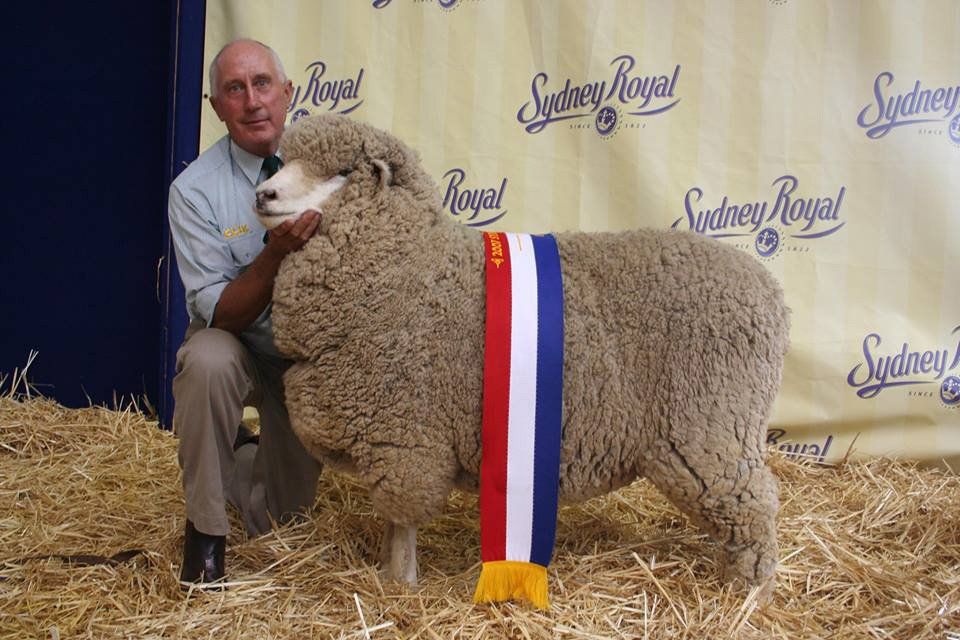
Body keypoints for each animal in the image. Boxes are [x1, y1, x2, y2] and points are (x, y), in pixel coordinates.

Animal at [255, 114, 789, 600]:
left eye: (342, 172)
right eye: (285, 159)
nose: (264, 195)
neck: (410, 267)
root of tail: (771, 292)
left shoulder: (406, 440)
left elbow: (402, 523)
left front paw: (400, 586)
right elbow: (393, 524)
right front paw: (391, 578)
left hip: (711, 427)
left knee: (754, 507)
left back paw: (750, 599)